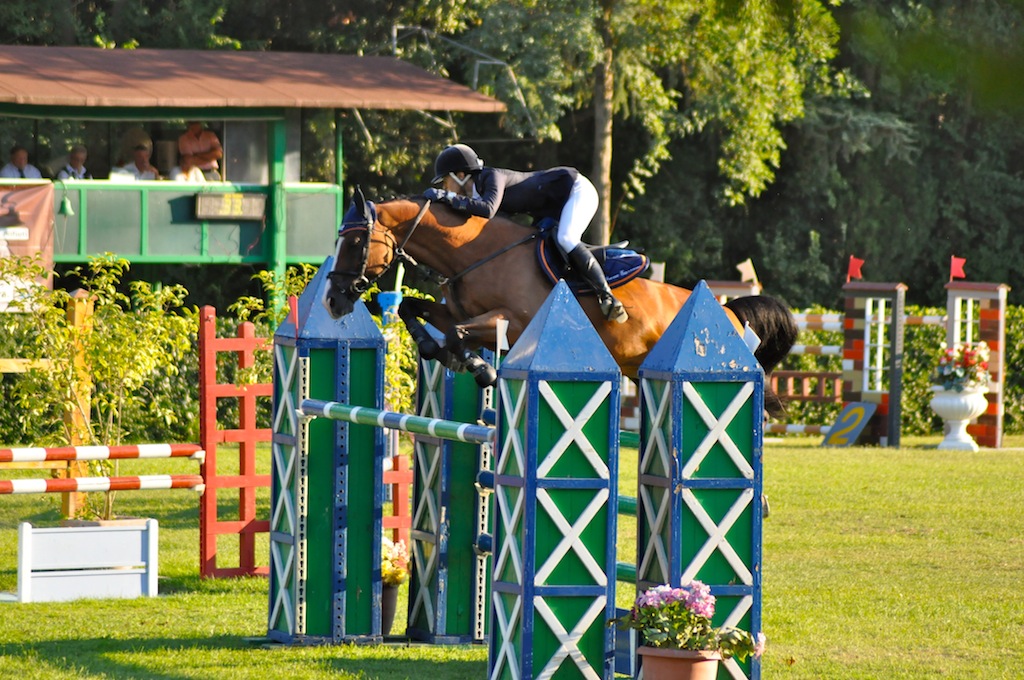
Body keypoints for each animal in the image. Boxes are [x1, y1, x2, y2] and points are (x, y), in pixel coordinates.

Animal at [321, 191, 798, 413]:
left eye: (357, 241)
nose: (332, 302)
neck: (475, 252)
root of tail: (728, 312)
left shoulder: (512, 323)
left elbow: (458, 334)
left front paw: (477, 367)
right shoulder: (459, 310)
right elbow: (413, 310)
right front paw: (434, 348)